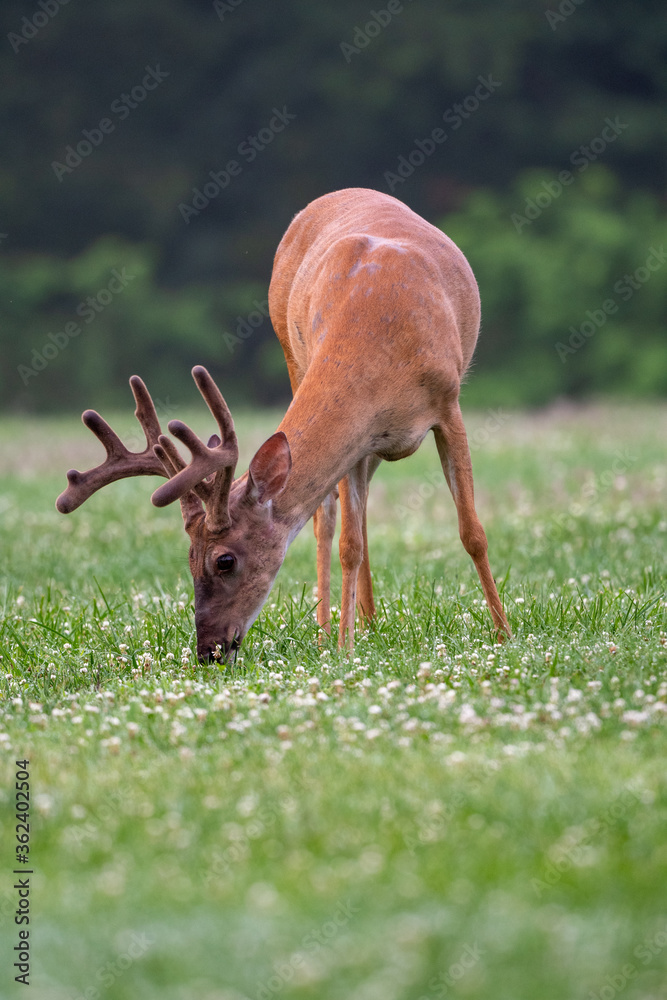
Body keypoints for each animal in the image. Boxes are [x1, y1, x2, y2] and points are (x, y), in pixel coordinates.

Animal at [56, 188, 512, 660]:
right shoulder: (359, 437)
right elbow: (348, 543)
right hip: (294, 358)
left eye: (224, 560)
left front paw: (504, 634)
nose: (209, 650)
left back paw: (365, 623)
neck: (381, 341)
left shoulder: (446, 405)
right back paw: (333, 630)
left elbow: (472, 531)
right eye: (188, 558)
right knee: (330, 519)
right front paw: (344, 646)